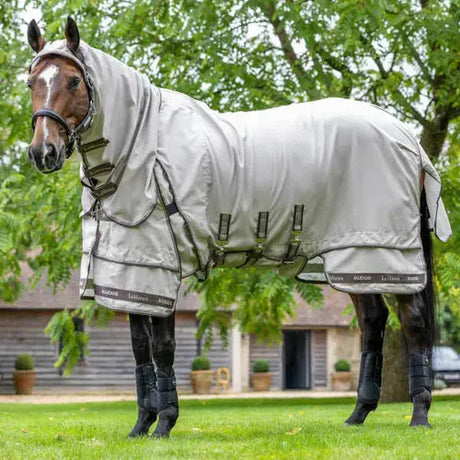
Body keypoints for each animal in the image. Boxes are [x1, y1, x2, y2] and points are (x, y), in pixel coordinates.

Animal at [24, 17, 450, 438]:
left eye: (73, 81)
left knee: (412, 321)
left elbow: (162, 346)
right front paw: (141, 425)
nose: (43, 153)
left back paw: (419, 415)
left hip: (384, 253)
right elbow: (139, 347)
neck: (141, 148)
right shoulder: (132, 270)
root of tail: (407, 138)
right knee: (372, 322)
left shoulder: (160, 266)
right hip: (352, 258)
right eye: (31, 82)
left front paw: (164, 424)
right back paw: (358, 414)